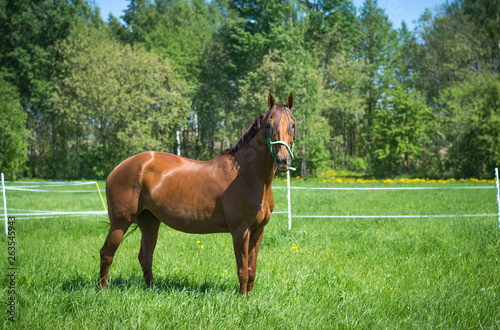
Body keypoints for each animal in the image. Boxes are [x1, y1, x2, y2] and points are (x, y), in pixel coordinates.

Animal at [99, 91, 298, 292]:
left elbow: (251, 270)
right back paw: (102, 291)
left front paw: (249, 297)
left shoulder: (258, 230)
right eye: (269, 125)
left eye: (293, 124)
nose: (283, 160)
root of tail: (118, 168)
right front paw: (242, 298)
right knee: (106, 253)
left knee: (145, 257)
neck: (248, 175)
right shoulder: (240, 230)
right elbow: (242, 270)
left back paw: (152, 290)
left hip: (150, 222)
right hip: (120, 222)